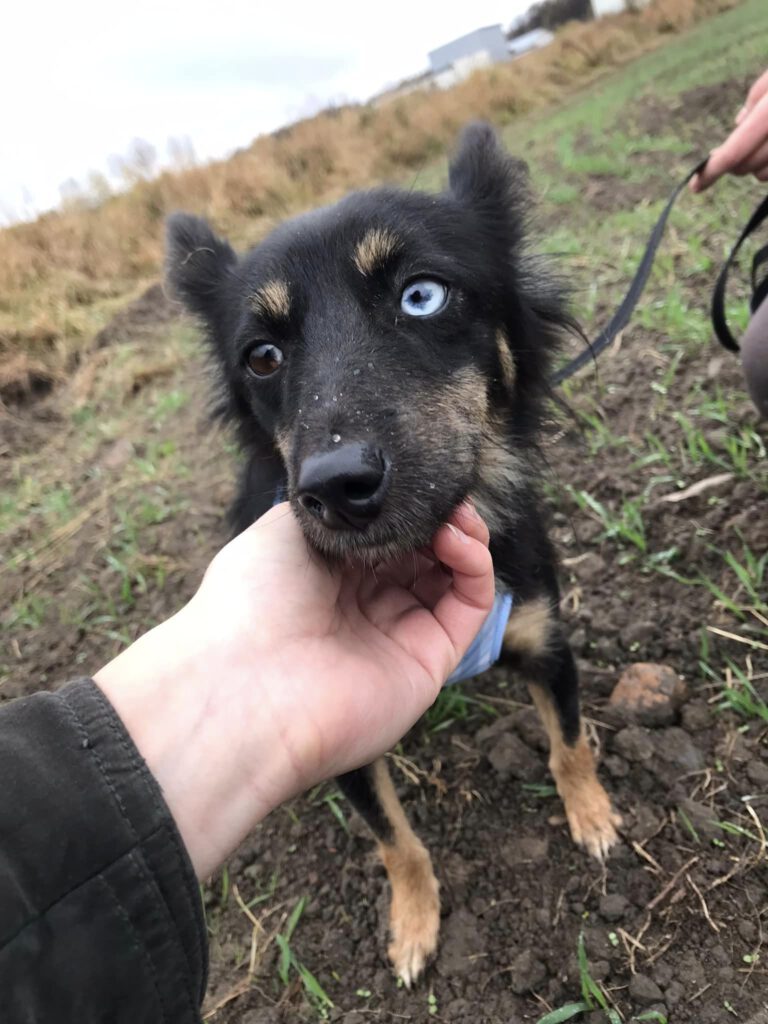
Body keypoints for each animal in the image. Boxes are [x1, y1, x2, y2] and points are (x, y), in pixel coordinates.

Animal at [165, 119, 622, 983]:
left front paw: (594, 814)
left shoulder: (546, 638)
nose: (335, 489)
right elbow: (394, 840)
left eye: (422, 295)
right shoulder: (342, 743)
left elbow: (570, 743)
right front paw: (413, 923)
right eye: (263, 356)